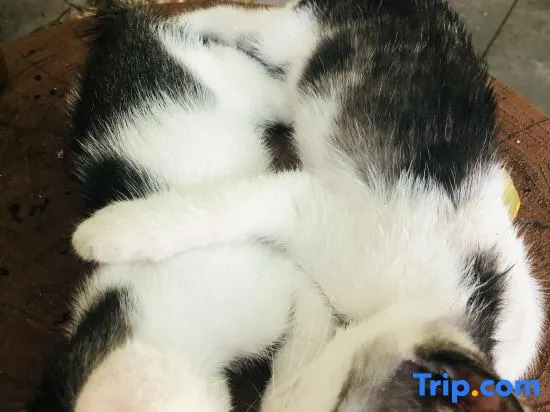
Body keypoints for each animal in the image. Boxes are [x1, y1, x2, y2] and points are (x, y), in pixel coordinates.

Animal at [73, 0, 543, 410]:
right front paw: (107, 232)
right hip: (291, 35)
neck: (478, 302)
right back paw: (182, 22)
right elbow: (220, 206)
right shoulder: (313, 204)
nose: (275, 404)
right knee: (246, 21)